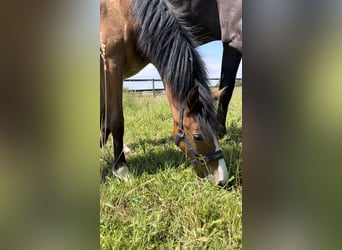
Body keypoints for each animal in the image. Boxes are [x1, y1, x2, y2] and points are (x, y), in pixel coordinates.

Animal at [100, 0, 228, 186]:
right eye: (197, 136)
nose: (222, 179)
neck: (125, 16)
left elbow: (104, 119)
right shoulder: (111, 64)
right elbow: (116, 120)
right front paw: (121, 169)